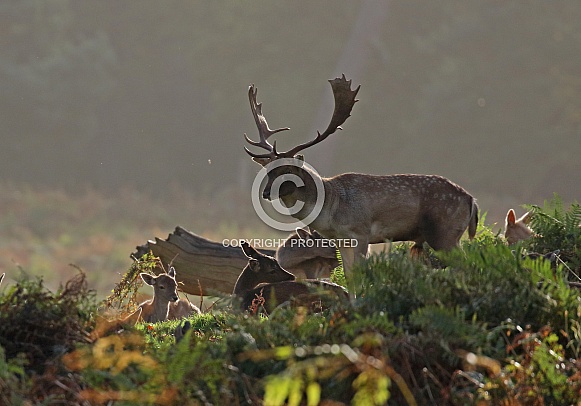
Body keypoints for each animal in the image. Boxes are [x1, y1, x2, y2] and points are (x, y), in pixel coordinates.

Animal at [242, 77, 478, 286]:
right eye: (267, 170)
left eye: (288, 170)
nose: (265, 193)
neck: (331, 209)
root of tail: (471, 200)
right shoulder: (341, 240)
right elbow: (349, 277)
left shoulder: (361, 233)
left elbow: (359, 275)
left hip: (445, 232)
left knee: (466, 264)